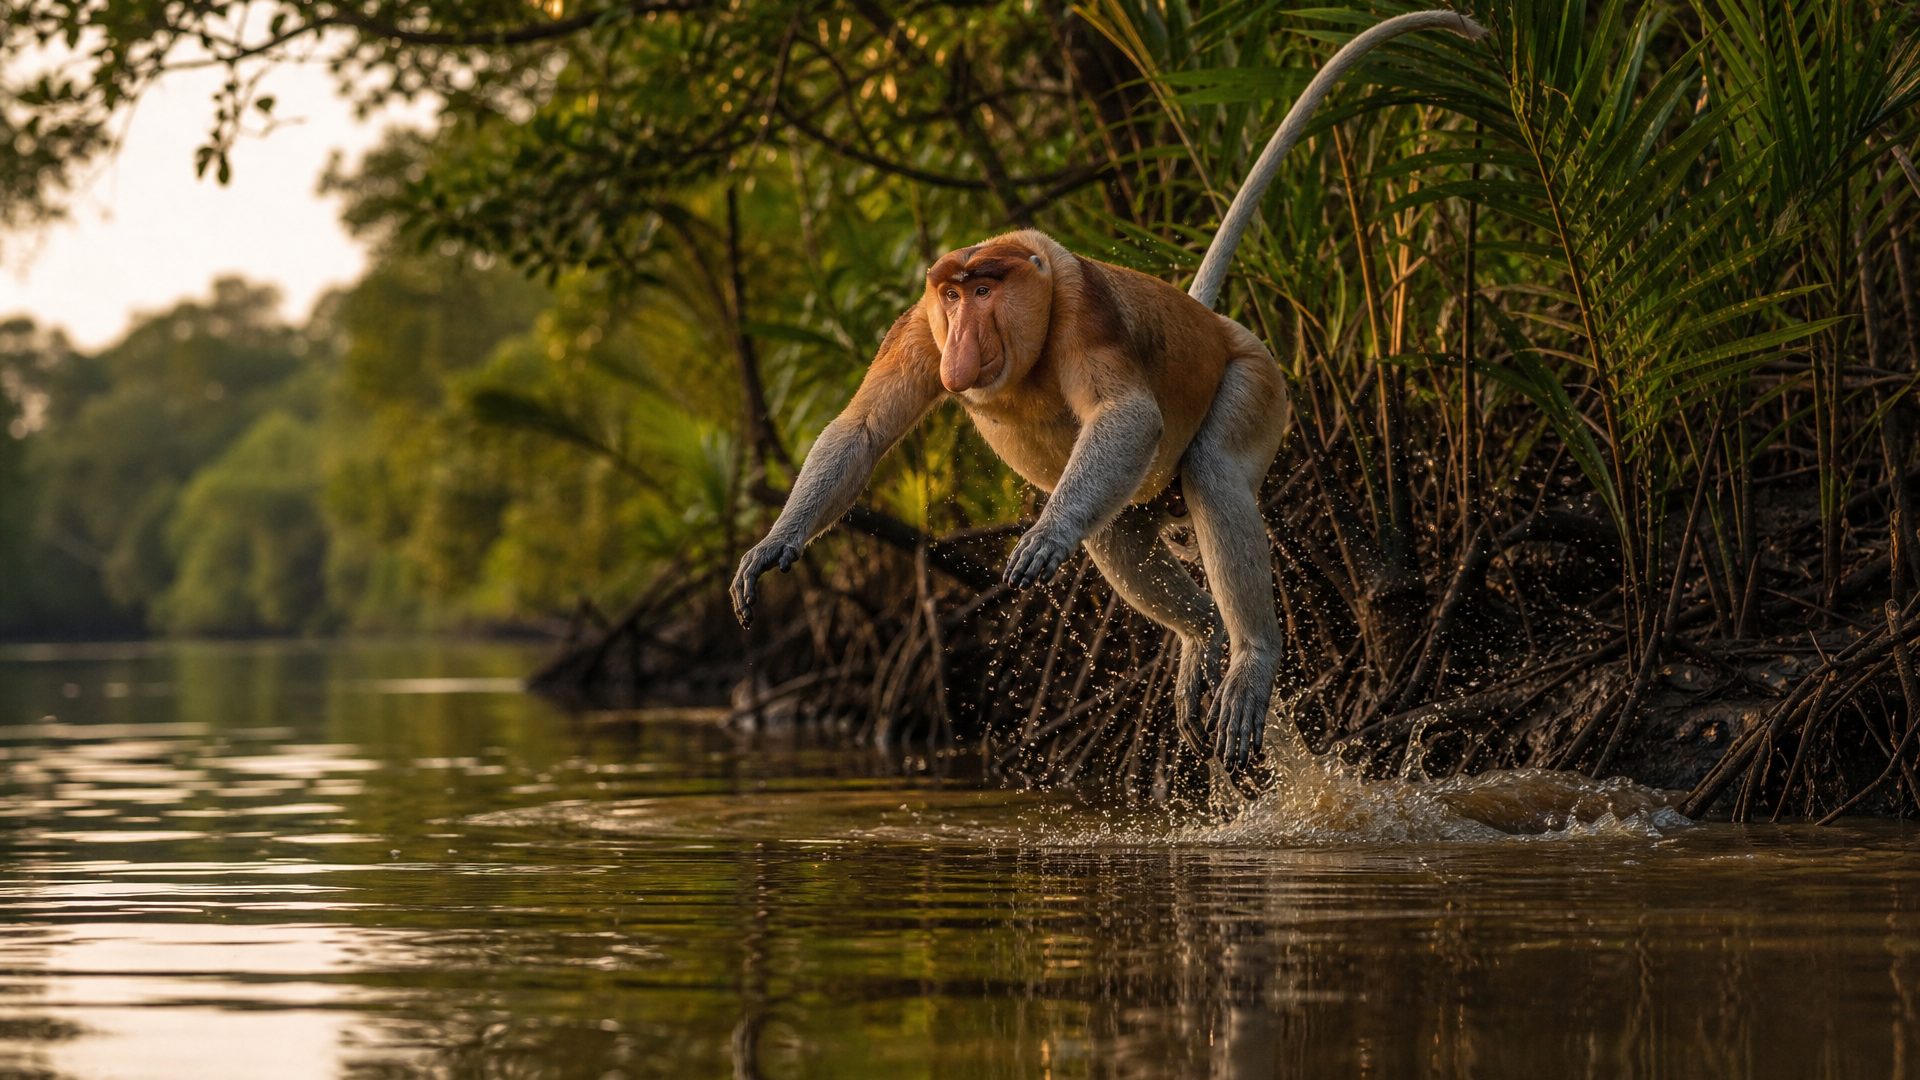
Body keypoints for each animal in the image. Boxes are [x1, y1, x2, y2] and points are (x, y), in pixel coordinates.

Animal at [728, 10, 1489, 767]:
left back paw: (1248, 657)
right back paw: (1205, 635)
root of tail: (1211, 321)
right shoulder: (918, 331)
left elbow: (1125, 414)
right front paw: (771, 547)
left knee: (1212, 468)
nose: (964, 337)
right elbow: (860, 432)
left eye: (984, 290)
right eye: (952, 294)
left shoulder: (1082, 311)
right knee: (1121, 534)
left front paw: (1045, 537)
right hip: (1144, 493)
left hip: (1258, 378)